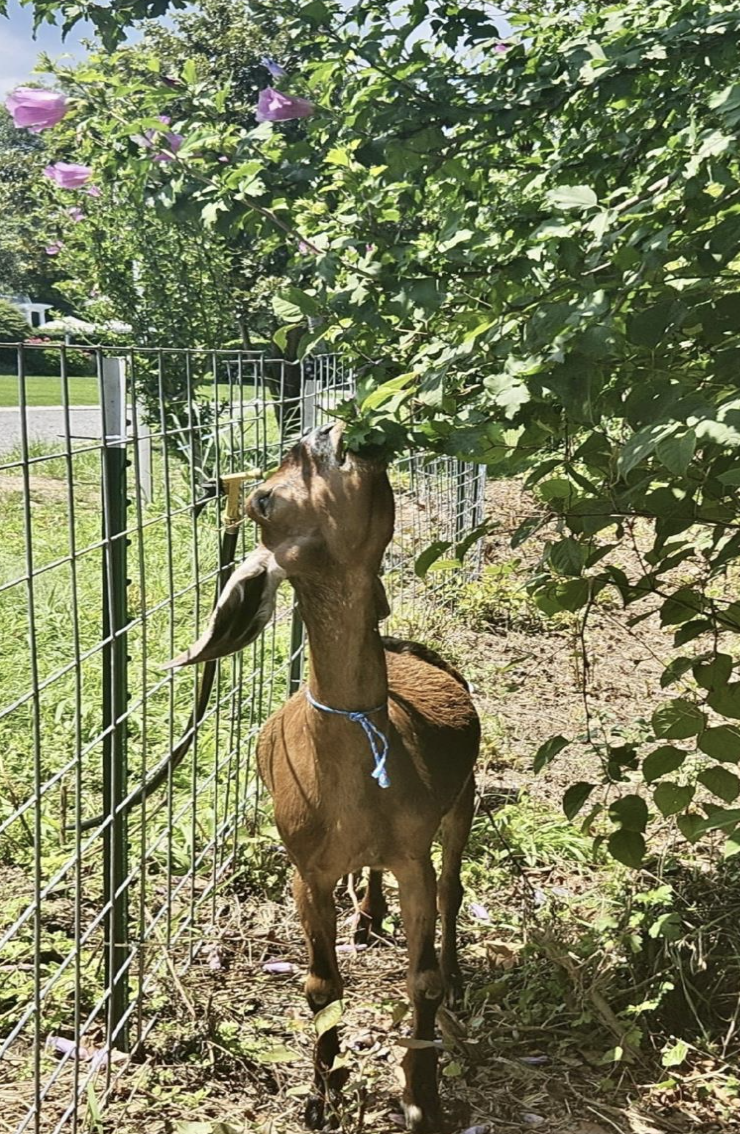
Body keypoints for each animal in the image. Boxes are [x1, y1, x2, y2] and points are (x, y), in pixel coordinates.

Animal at [172, 424, 480, 1133]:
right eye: (262, 499)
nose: (320, 435)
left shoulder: (414, 856)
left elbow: (421, 978)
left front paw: (423, 1097)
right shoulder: (306, 870)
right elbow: (321, 987)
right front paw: (321, 1092)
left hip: (465, 798)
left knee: (453, 887)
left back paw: (450, 966)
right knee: (371, 878)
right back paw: (365, 917)